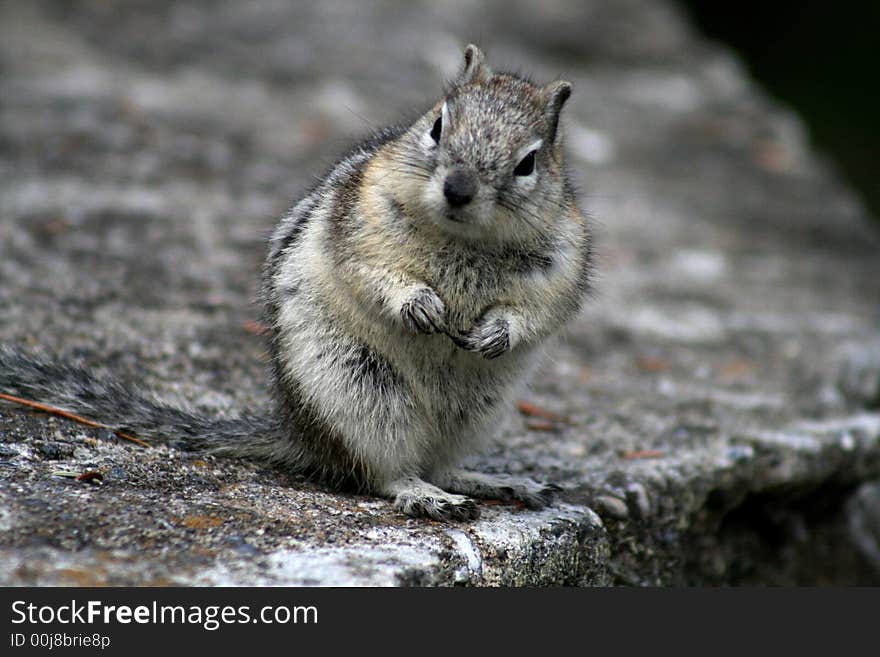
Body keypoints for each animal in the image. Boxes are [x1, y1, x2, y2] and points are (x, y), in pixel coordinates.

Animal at [1, 43, 592, 520]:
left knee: (441, 464)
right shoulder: (358, 224)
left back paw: (498, 482)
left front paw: (498, 332)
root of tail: (299, 433)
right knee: (386, 473)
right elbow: (373, 274)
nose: (459, 188)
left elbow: (540, 311)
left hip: (476, 413)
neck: (462, 240)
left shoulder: (563, 263)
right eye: (438, 125)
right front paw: (417, 304)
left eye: (529, 162)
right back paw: (426, 495)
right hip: (362, 392)